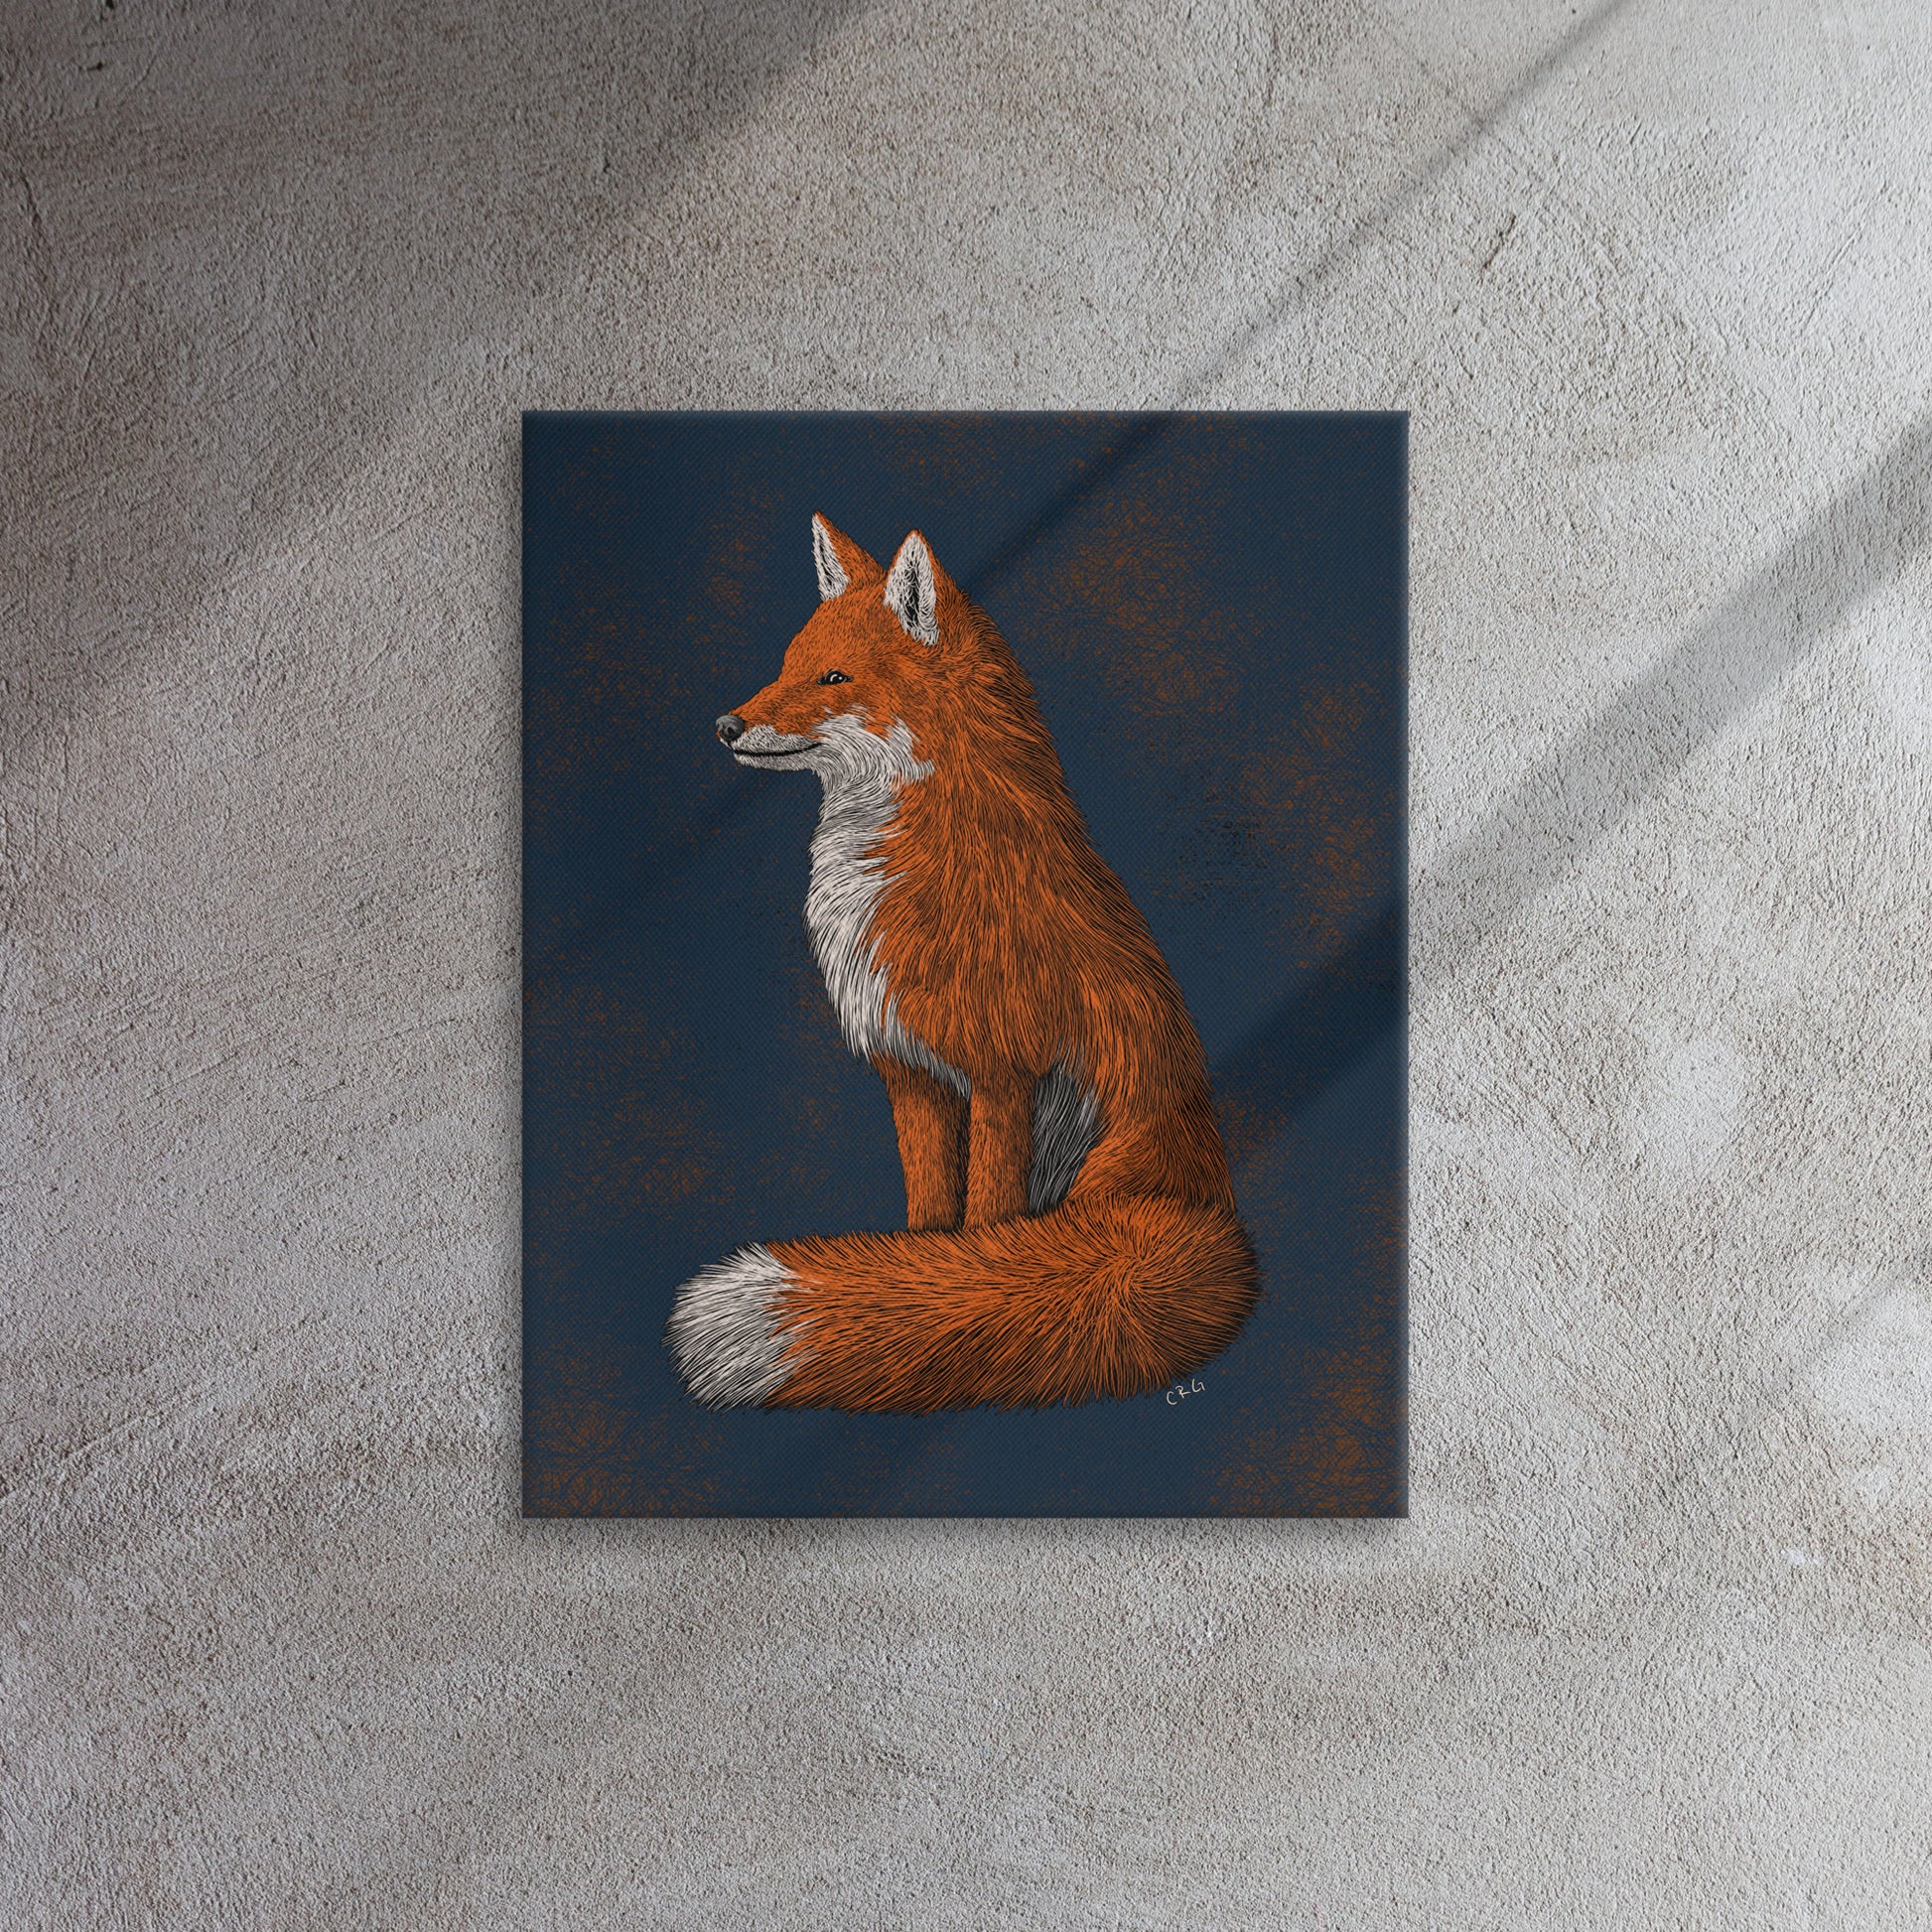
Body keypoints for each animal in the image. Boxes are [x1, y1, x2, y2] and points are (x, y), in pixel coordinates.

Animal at [664, 515, 1259, 1412]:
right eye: (786, 664)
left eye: (832, 677)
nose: (725, 726)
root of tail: (1205, 1203)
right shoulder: (911, 1073)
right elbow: (930, 1220)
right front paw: (914, 1278)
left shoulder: (1003, 1073)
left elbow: (983, 1227)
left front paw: (954, 1283)